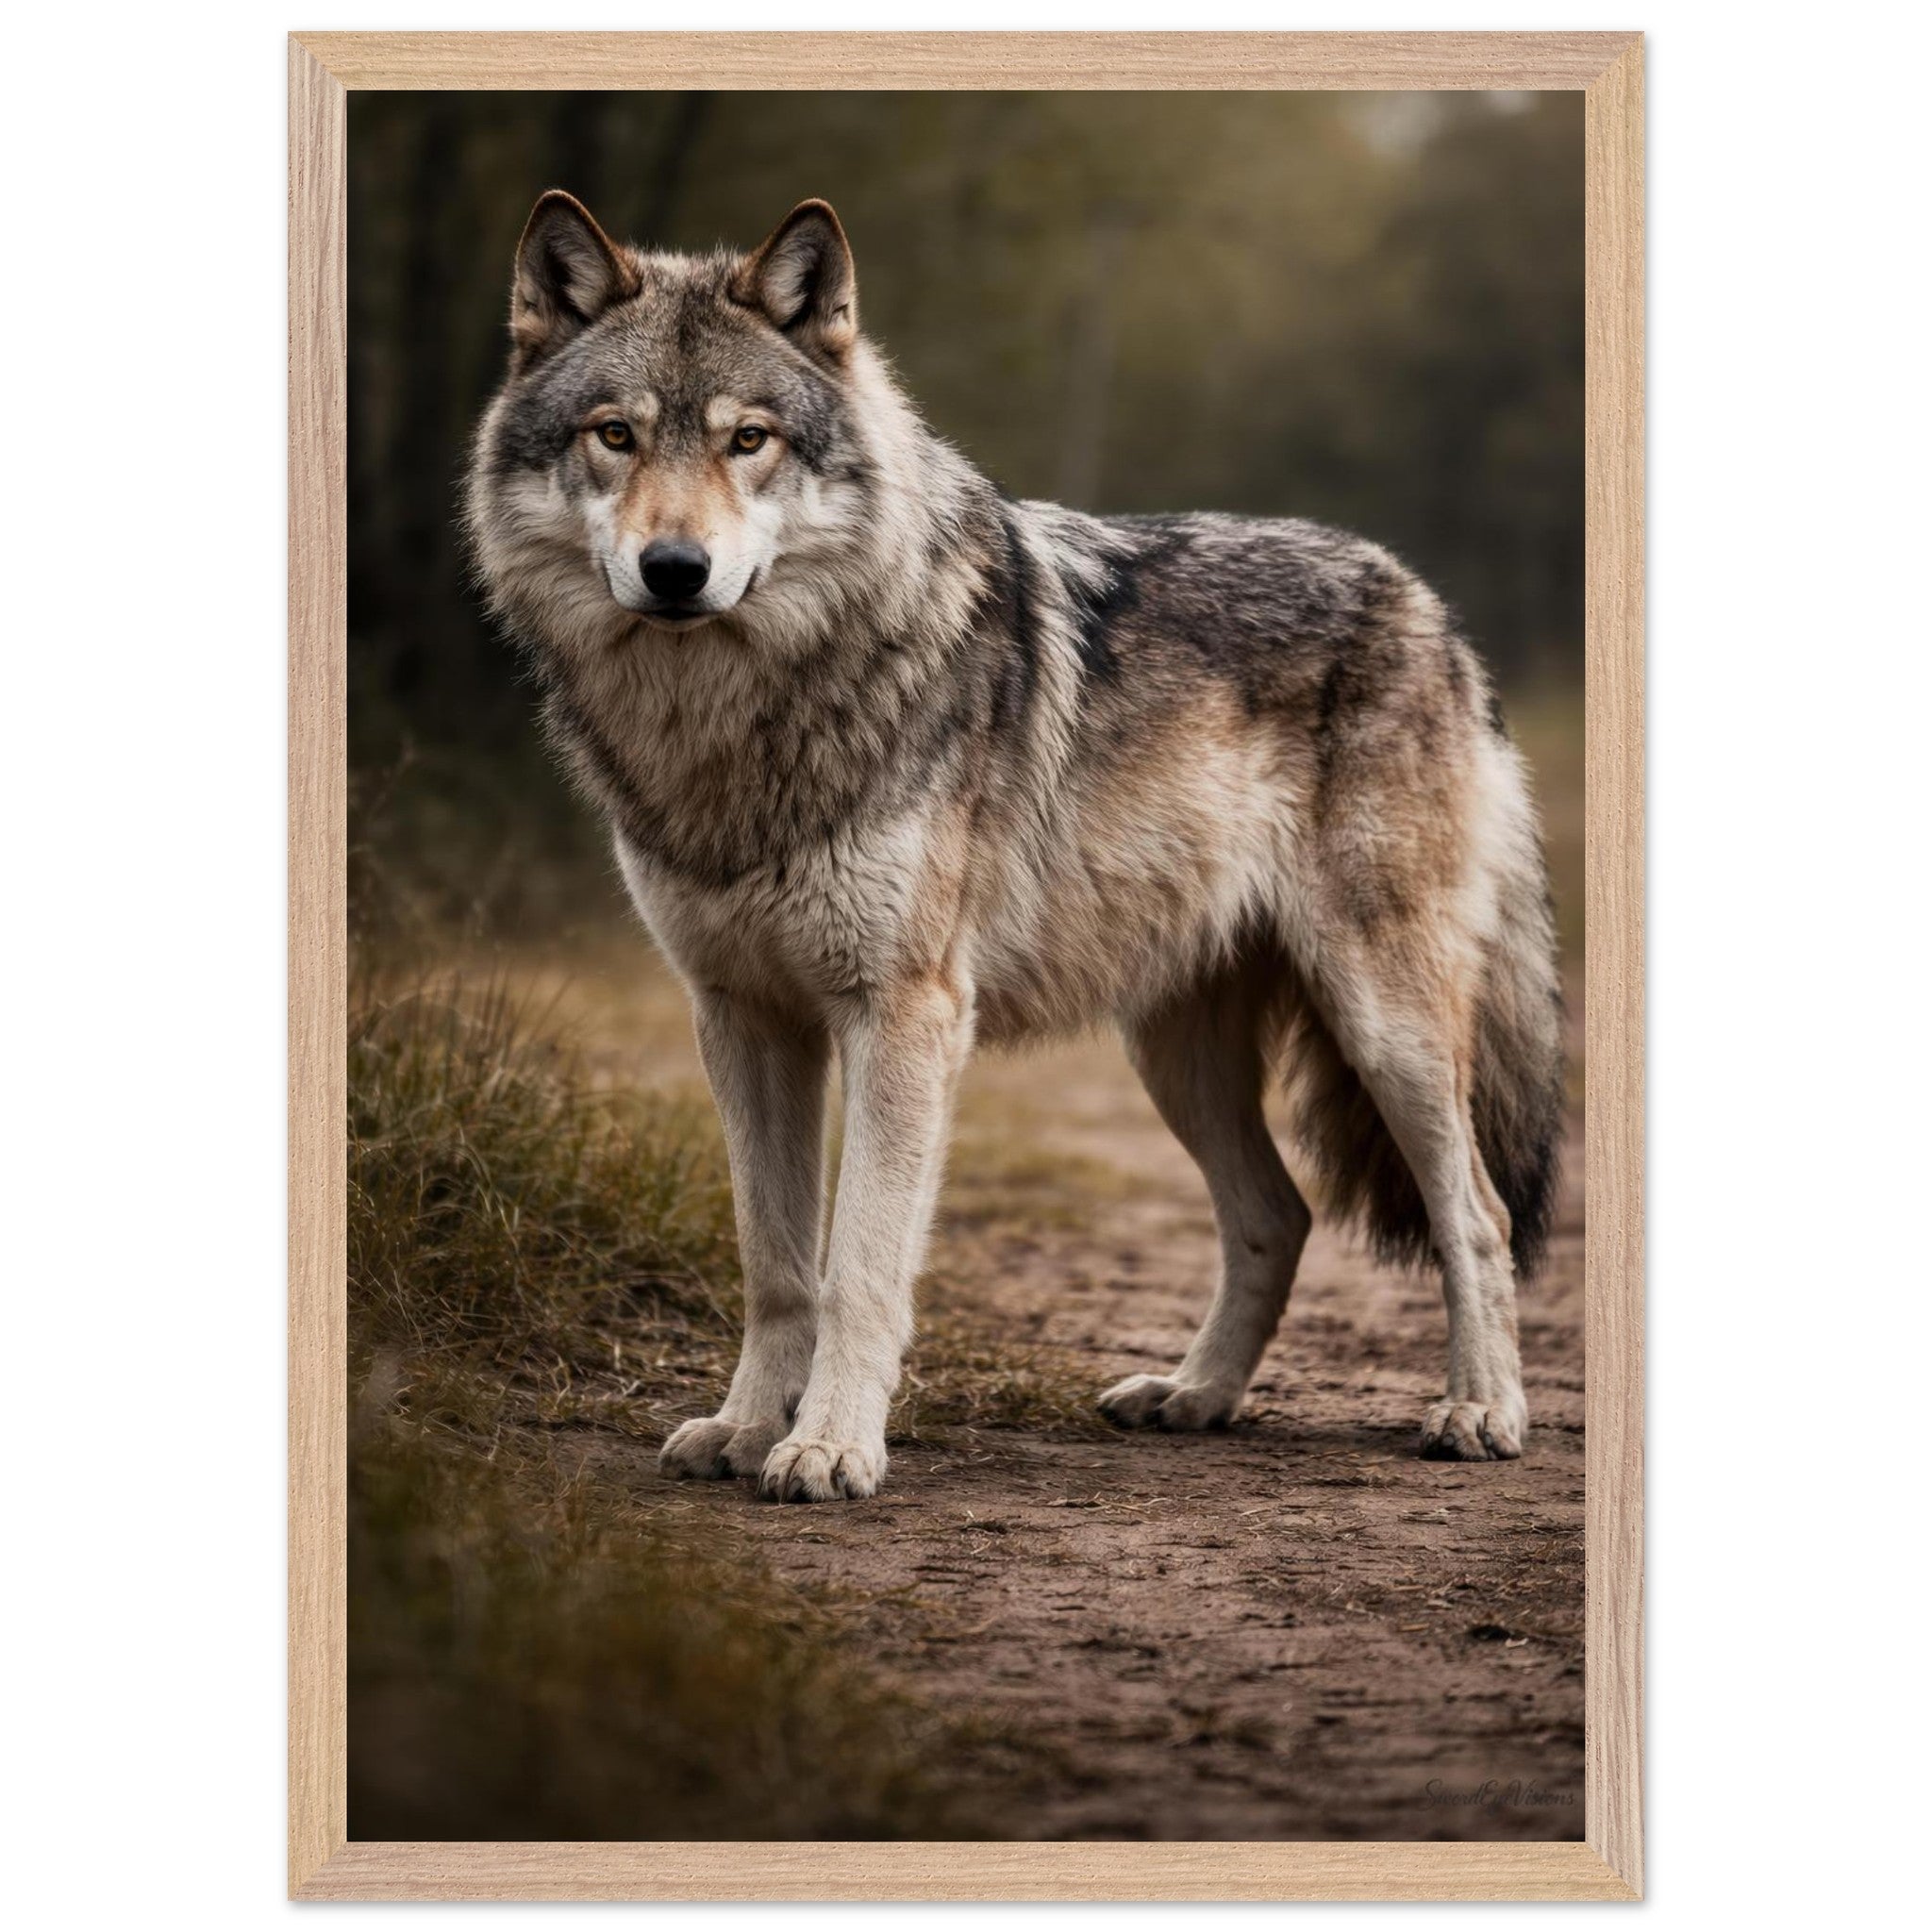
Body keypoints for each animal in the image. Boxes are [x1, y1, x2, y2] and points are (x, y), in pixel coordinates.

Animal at [465, 192, 1565, 1502]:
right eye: (616, 435)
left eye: (748, 440)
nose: (675, 570)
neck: (737, 722)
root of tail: (1426, 604)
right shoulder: (739, 1016)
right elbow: (774, 1263)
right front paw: (741, 1429)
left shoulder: (904, 1015)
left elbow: (857, 1265)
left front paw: (828, 1446)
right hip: (1174, 1053)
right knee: (1278, 1215)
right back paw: (1193, 1395)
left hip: (1382, 1025)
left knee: (1477, 1215)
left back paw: (1481, 1410)